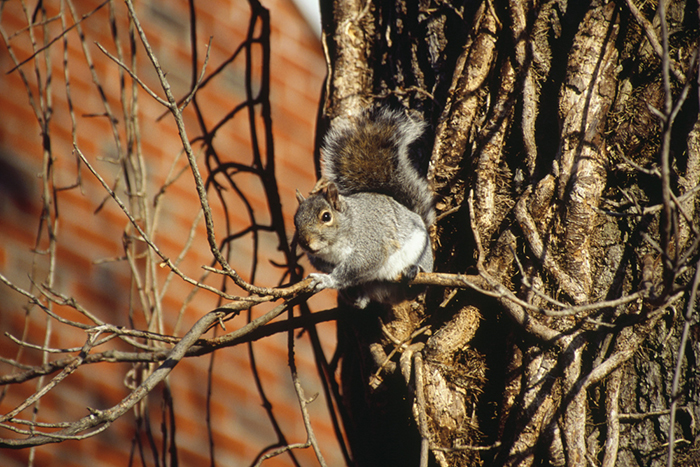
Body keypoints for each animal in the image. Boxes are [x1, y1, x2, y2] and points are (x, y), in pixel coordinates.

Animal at [294, 107, 434, 308]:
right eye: (295, 220)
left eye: (326, 217)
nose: (305, 242)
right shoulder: (320, 259)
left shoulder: (370, 242)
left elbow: (358, 265)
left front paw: (327, 280)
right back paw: (357, 297)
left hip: (421, 252)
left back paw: (415, 270)